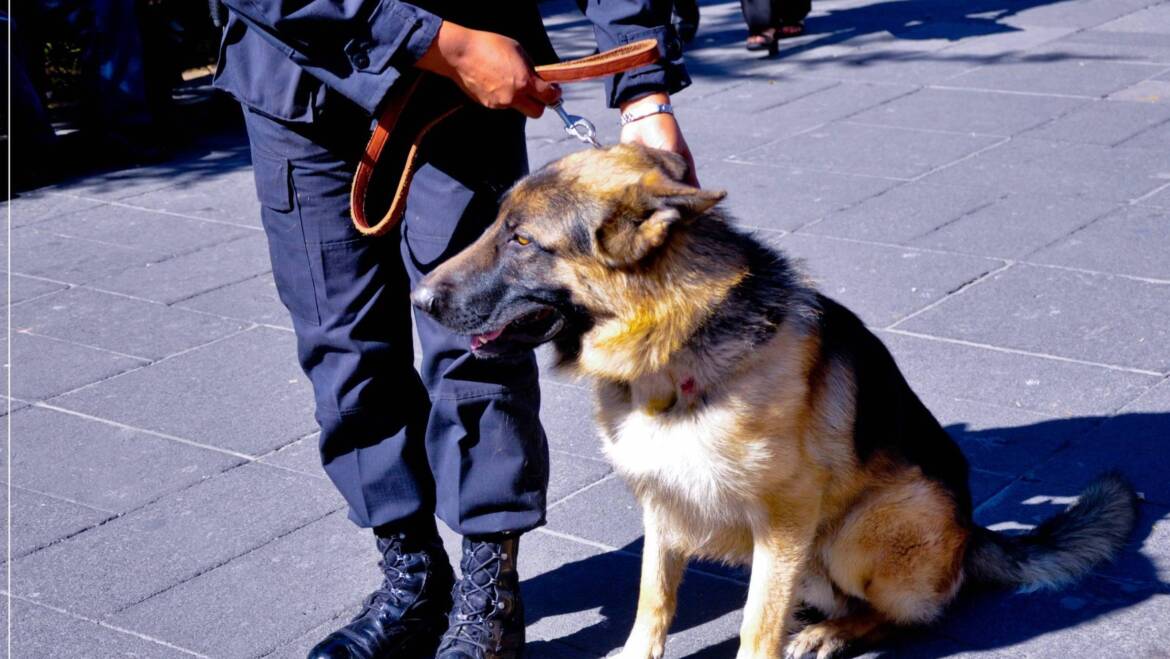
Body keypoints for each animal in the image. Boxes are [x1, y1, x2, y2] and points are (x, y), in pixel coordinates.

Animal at [409, 145, 1132, 659]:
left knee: (905, 613)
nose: (418, 300)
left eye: (521, 240)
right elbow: (653, 596)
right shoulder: (663, 503)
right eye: (497, 226)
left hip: (857, 528)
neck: (671, 347)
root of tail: (972, 533)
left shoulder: (783, 523)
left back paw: (834, 633)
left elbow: (757, 626)